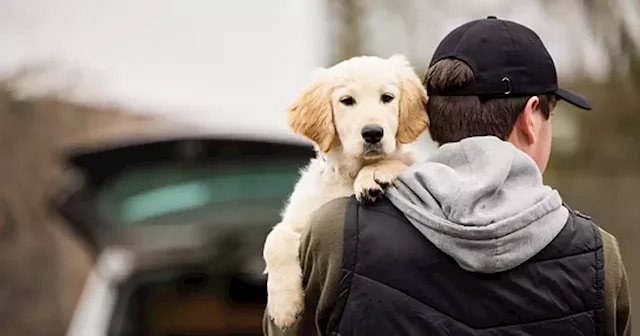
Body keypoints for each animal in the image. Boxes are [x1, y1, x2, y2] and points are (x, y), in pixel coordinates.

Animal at [260, 54, 430, 328]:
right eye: (347, 101)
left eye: (387, 97)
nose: (373, 133)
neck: (350, 173)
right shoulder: (301, 219)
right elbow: (274, 239)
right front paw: (284, 306)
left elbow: (401, 162)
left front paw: (374, 174)